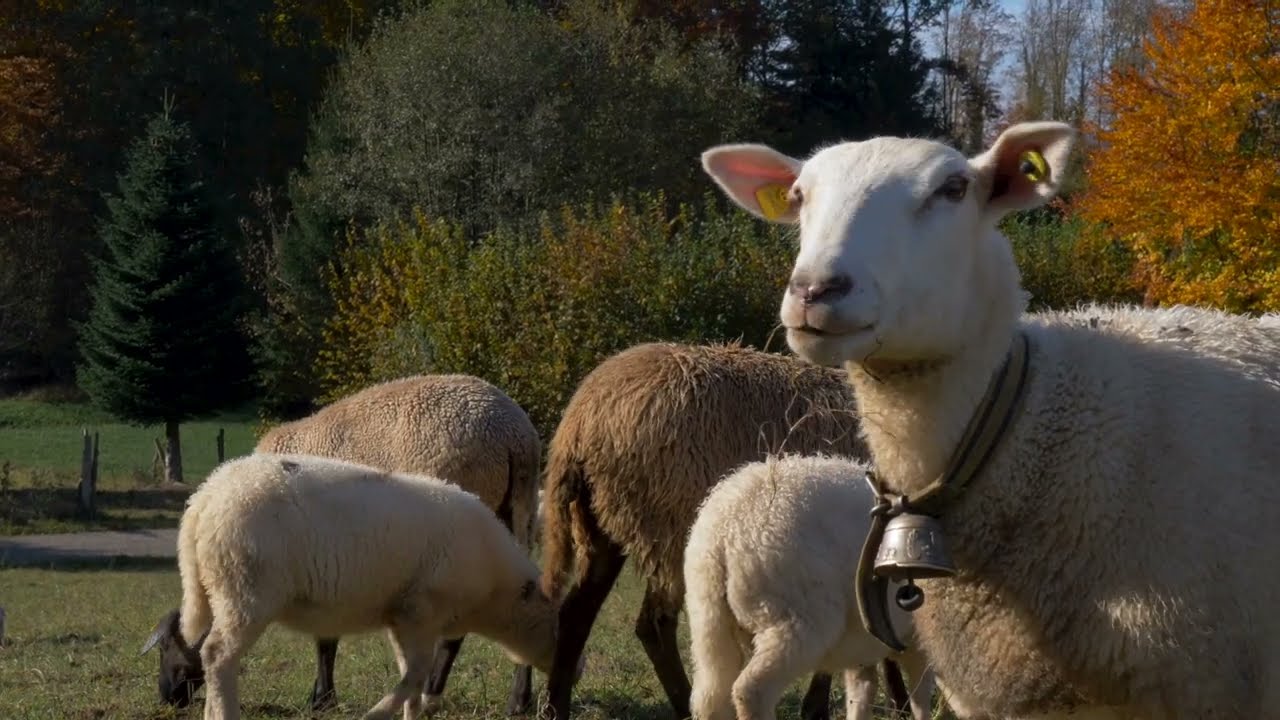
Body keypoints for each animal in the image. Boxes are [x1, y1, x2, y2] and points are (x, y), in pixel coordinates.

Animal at [140, 452, 576, 720]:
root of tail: (202, 501)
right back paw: (225, 713)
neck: (493, 593)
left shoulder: (403, 616)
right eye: (559, 621)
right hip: (246, 591)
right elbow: (416, 674)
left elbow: (411, 675)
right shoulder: (422, 611)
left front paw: (409, 713)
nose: (575, 673)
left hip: (221, 589)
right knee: (217, 656)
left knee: (210, 657)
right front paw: (378, 713)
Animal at [245, 373, 541, 714]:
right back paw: (518, 699)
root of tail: (513, 435)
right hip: (518, 511)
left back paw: (428, 694)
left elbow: (325, 636)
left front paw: (323, 698)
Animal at [685, 453, 935, 720]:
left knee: (710, 697)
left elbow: (862, 689)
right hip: (795, 619)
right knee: (751, 690)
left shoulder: (863, 645)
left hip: (708, 622)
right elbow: (921, 692)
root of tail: (725, 530)